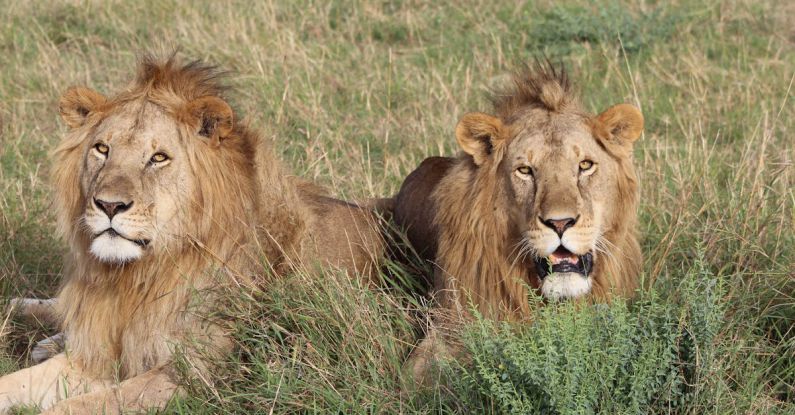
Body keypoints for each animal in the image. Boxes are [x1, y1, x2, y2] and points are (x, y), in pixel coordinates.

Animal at [0, 55, 386, 415]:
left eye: (158, 158)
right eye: (102, 149)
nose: (109, 205)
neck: (137, 278)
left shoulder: (193, 376)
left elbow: (83, 404)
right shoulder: (97, 354)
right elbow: (15, 383)